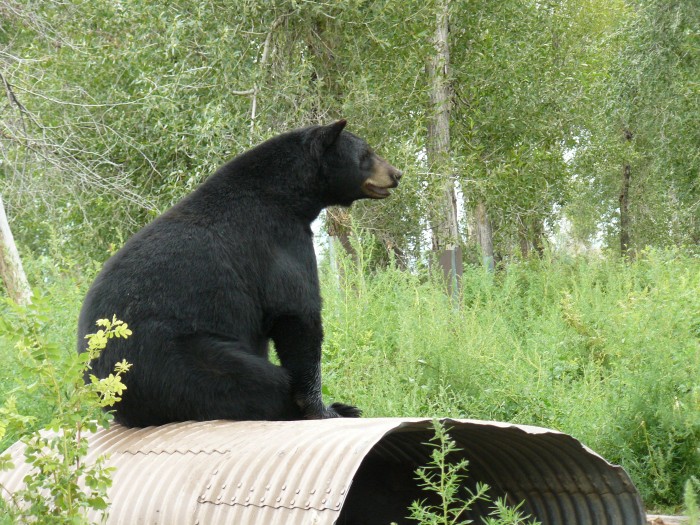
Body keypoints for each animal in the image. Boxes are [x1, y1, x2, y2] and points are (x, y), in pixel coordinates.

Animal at [77, 119, 402, 426]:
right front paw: (323, 409)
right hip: (179, 362)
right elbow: (297, 312)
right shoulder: (278, 240)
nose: (396, 174)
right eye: (365, 154)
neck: (287, 194)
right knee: (261, 381)